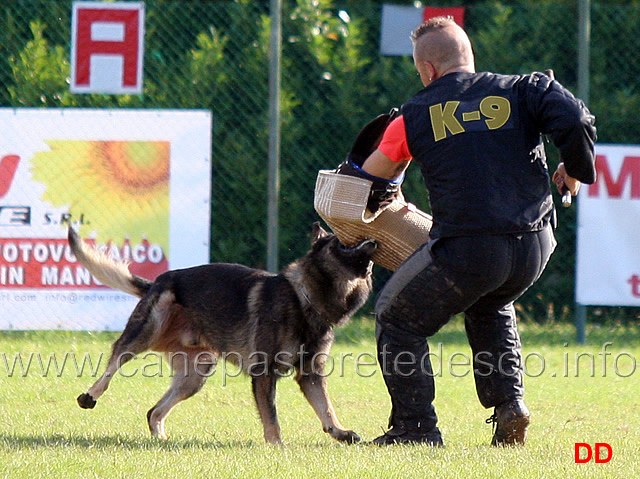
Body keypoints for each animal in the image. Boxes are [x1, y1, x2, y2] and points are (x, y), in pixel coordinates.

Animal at [70, 223, 376, 444]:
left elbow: (326, 407)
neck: (304, 299)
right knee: (113, 364)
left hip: (195, 375)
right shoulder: (264, 373)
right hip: (145, 333)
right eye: (342, 243)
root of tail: (159, 279)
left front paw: (339, 431)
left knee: (154, 411)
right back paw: (90, 395)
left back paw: (161, 439)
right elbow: (272, 415)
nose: (374, 242)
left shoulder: (310, 374)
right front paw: (276, 445)